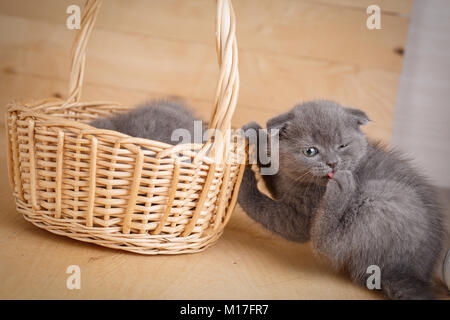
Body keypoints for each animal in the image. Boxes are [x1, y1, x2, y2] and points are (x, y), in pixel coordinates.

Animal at [239, 100, 446, 300]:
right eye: (310, 151)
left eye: (343, 146)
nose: (333, 163)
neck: (306, 184)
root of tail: (411, 273)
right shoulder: (286, 185)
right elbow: (274, 175)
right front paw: (255, 134)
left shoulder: (299, 218)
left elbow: (264, 209)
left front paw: (242, 180)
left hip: (381, 201)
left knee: (328, 246)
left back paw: (341, 187)